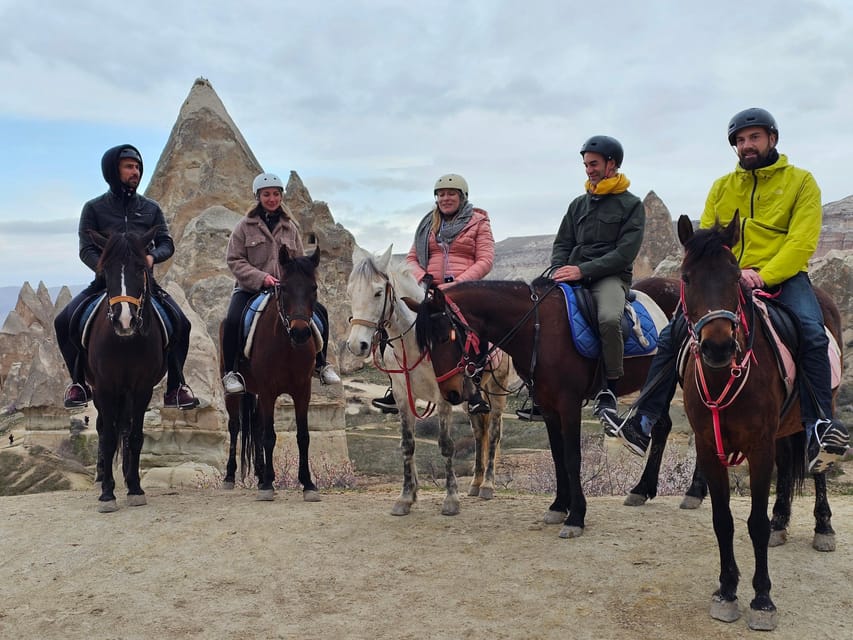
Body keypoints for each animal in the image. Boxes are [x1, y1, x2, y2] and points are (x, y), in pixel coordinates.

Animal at [85, 228, 167, 512]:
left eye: (140, 267)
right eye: (106, 269)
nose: (125, 320)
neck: (125, 343)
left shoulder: (142, 388)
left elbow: (135, 436)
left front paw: (135, 487)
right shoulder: (105, 387)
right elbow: (108, 437)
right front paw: (107, 494)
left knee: (124, 427)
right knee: (103, 428)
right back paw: (101, 477)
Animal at [220, 248, 322, 502]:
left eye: (313, 288)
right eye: (283, 287)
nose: (300, 332)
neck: (287, 345)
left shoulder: (302, 391)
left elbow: (303, 436)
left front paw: (308, 484)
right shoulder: (268, 391)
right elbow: (269, 435)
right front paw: (268, 484)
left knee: (255, 425)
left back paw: (258, 473)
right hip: (234, 393)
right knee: (235, 425)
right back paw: (230, 476)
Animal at [410, 276, 696, 540]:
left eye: (446, 336)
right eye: (425, 345)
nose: (451, 392)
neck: (537, 328)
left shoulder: (568, 405)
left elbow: (572, 457)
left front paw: (576, 516)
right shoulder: (548, 407)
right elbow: (558, 456)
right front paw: (559, 506)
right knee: (662, 426)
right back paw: (641, 489)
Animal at [676, 215, 844, 632]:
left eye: (736, 275)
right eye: (686, 277)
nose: (718, 346)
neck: (725, 375)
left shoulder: (759, 447)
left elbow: (754, 523)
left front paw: (762, 599)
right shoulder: (710, 447)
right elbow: (723, 520)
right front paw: (727, 591)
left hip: (820, 411)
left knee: (818, 468)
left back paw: (823, 527)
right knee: (787, 466)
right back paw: (782, 519)